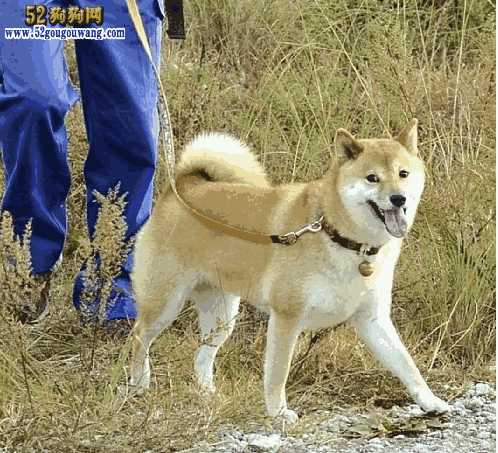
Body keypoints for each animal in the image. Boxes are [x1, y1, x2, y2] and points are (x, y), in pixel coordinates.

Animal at [129, 119, 452, 420]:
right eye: (372, 178)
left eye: (403, 174)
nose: (399, 198)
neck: (338, 236)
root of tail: (181, 187)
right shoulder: (287, 316)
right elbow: (278, 372)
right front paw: (278, 412)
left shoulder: (373, 319)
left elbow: (407, 365)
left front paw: (431, 401)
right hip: (165, 303)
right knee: (139, 336)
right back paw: (138, 385)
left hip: (222, 315)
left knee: (203, 355)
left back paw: (208, 395)